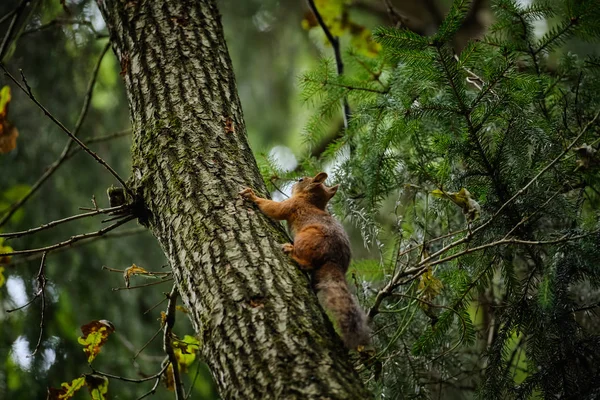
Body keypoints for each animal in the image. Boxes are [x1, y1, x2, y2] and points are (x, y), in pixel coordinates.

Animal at [239, 172, 370, 350]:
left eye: (301, 180)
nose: (294, 183)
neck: (310, 199)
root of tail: (335, 261)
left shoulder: (293, 205)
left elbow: (275, 209)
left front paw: (252, 196)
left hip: (307, 239)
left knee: (308, 262)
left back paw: (291, 252)